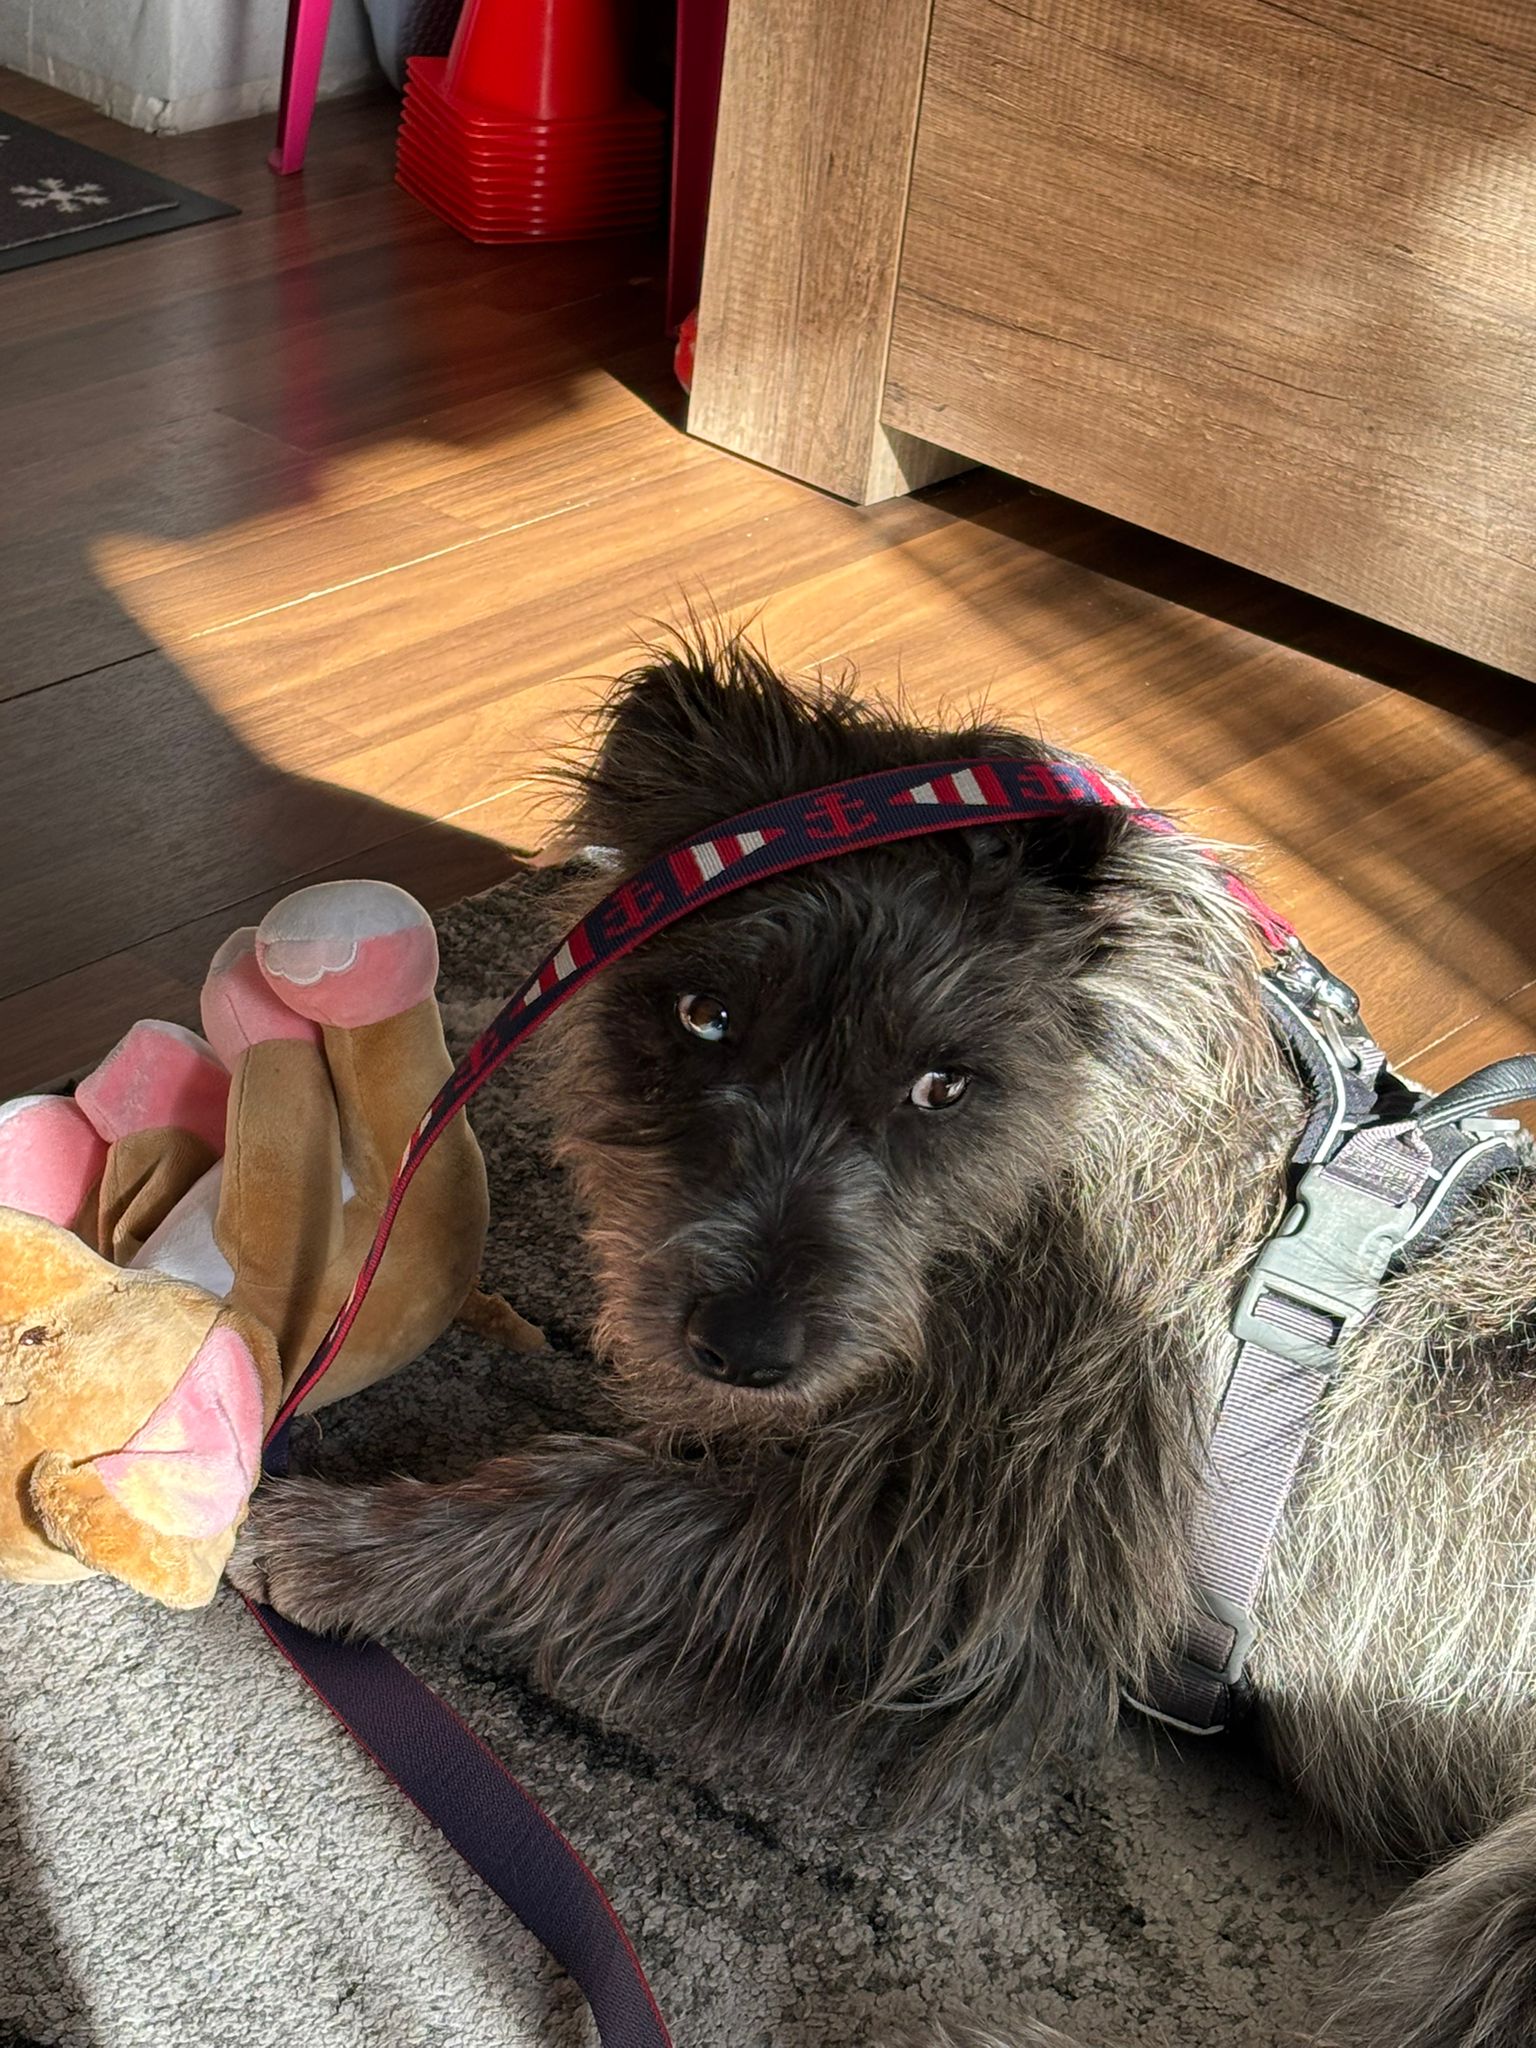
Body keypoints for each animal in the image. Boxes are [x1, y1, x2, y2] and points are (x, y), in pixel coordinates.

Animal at [233, 639, 1536, 2048]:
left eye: (944, 1085)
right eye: (704, 1014)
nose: (744, 1348)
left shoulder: (975, 1570)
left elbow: (605, 1502)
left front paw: (348, 1542)